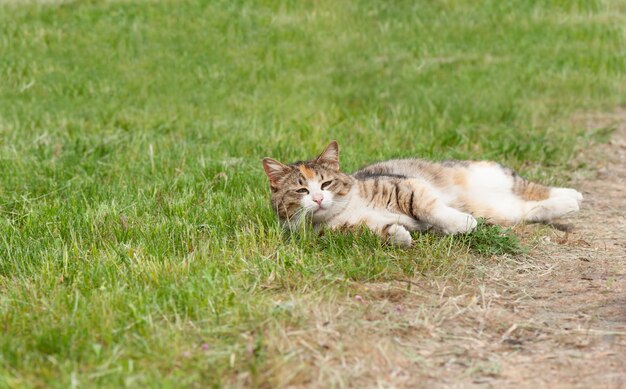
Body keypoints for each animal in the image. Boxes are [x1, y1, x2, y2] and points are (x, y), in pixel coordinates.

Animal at [260, 142, 584, 246]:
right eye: (301, 189)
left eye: (325, 184)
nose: (317, 199)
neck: (346, 210)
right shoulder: (345, 231)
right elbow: (378, 231)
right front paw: (400, 236)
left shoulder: (404, 186)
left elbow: (428, 207)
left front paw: (461, 223)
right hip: (502, 211)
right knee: (531, 209)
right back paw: (566, 204)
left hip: (490, 173)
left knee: (530, 187)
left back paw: (573, 195)